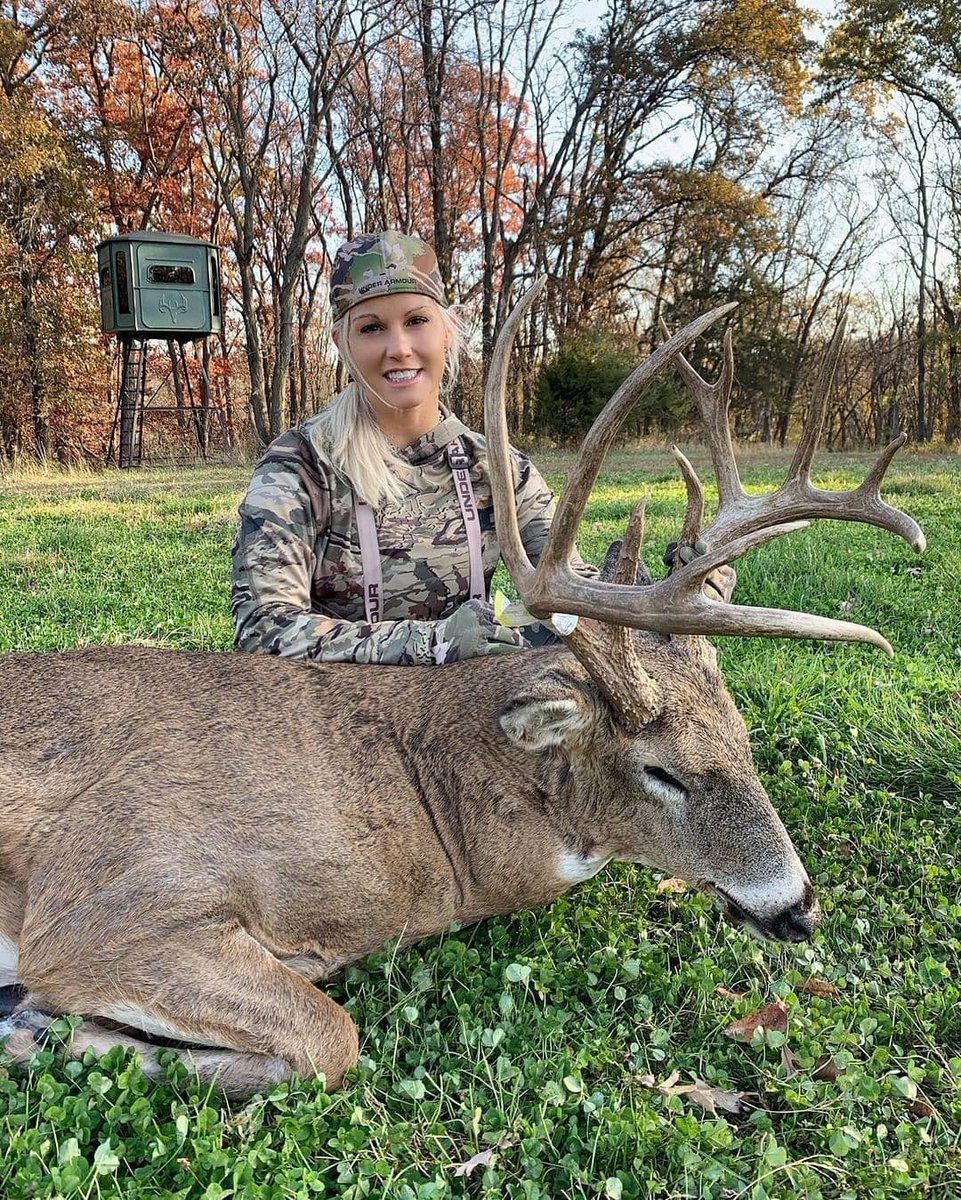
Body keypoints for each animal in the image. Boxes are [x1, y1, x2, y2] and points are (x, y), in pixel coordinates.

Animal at [0, 288, 924, 1099]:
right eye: (663, 771)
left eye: (741, 738)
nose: (799, 908)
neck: (420, 800)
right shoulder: (108, 910)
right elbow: (331, 1040)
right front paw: (44, 1030)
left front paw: (42, 1026)